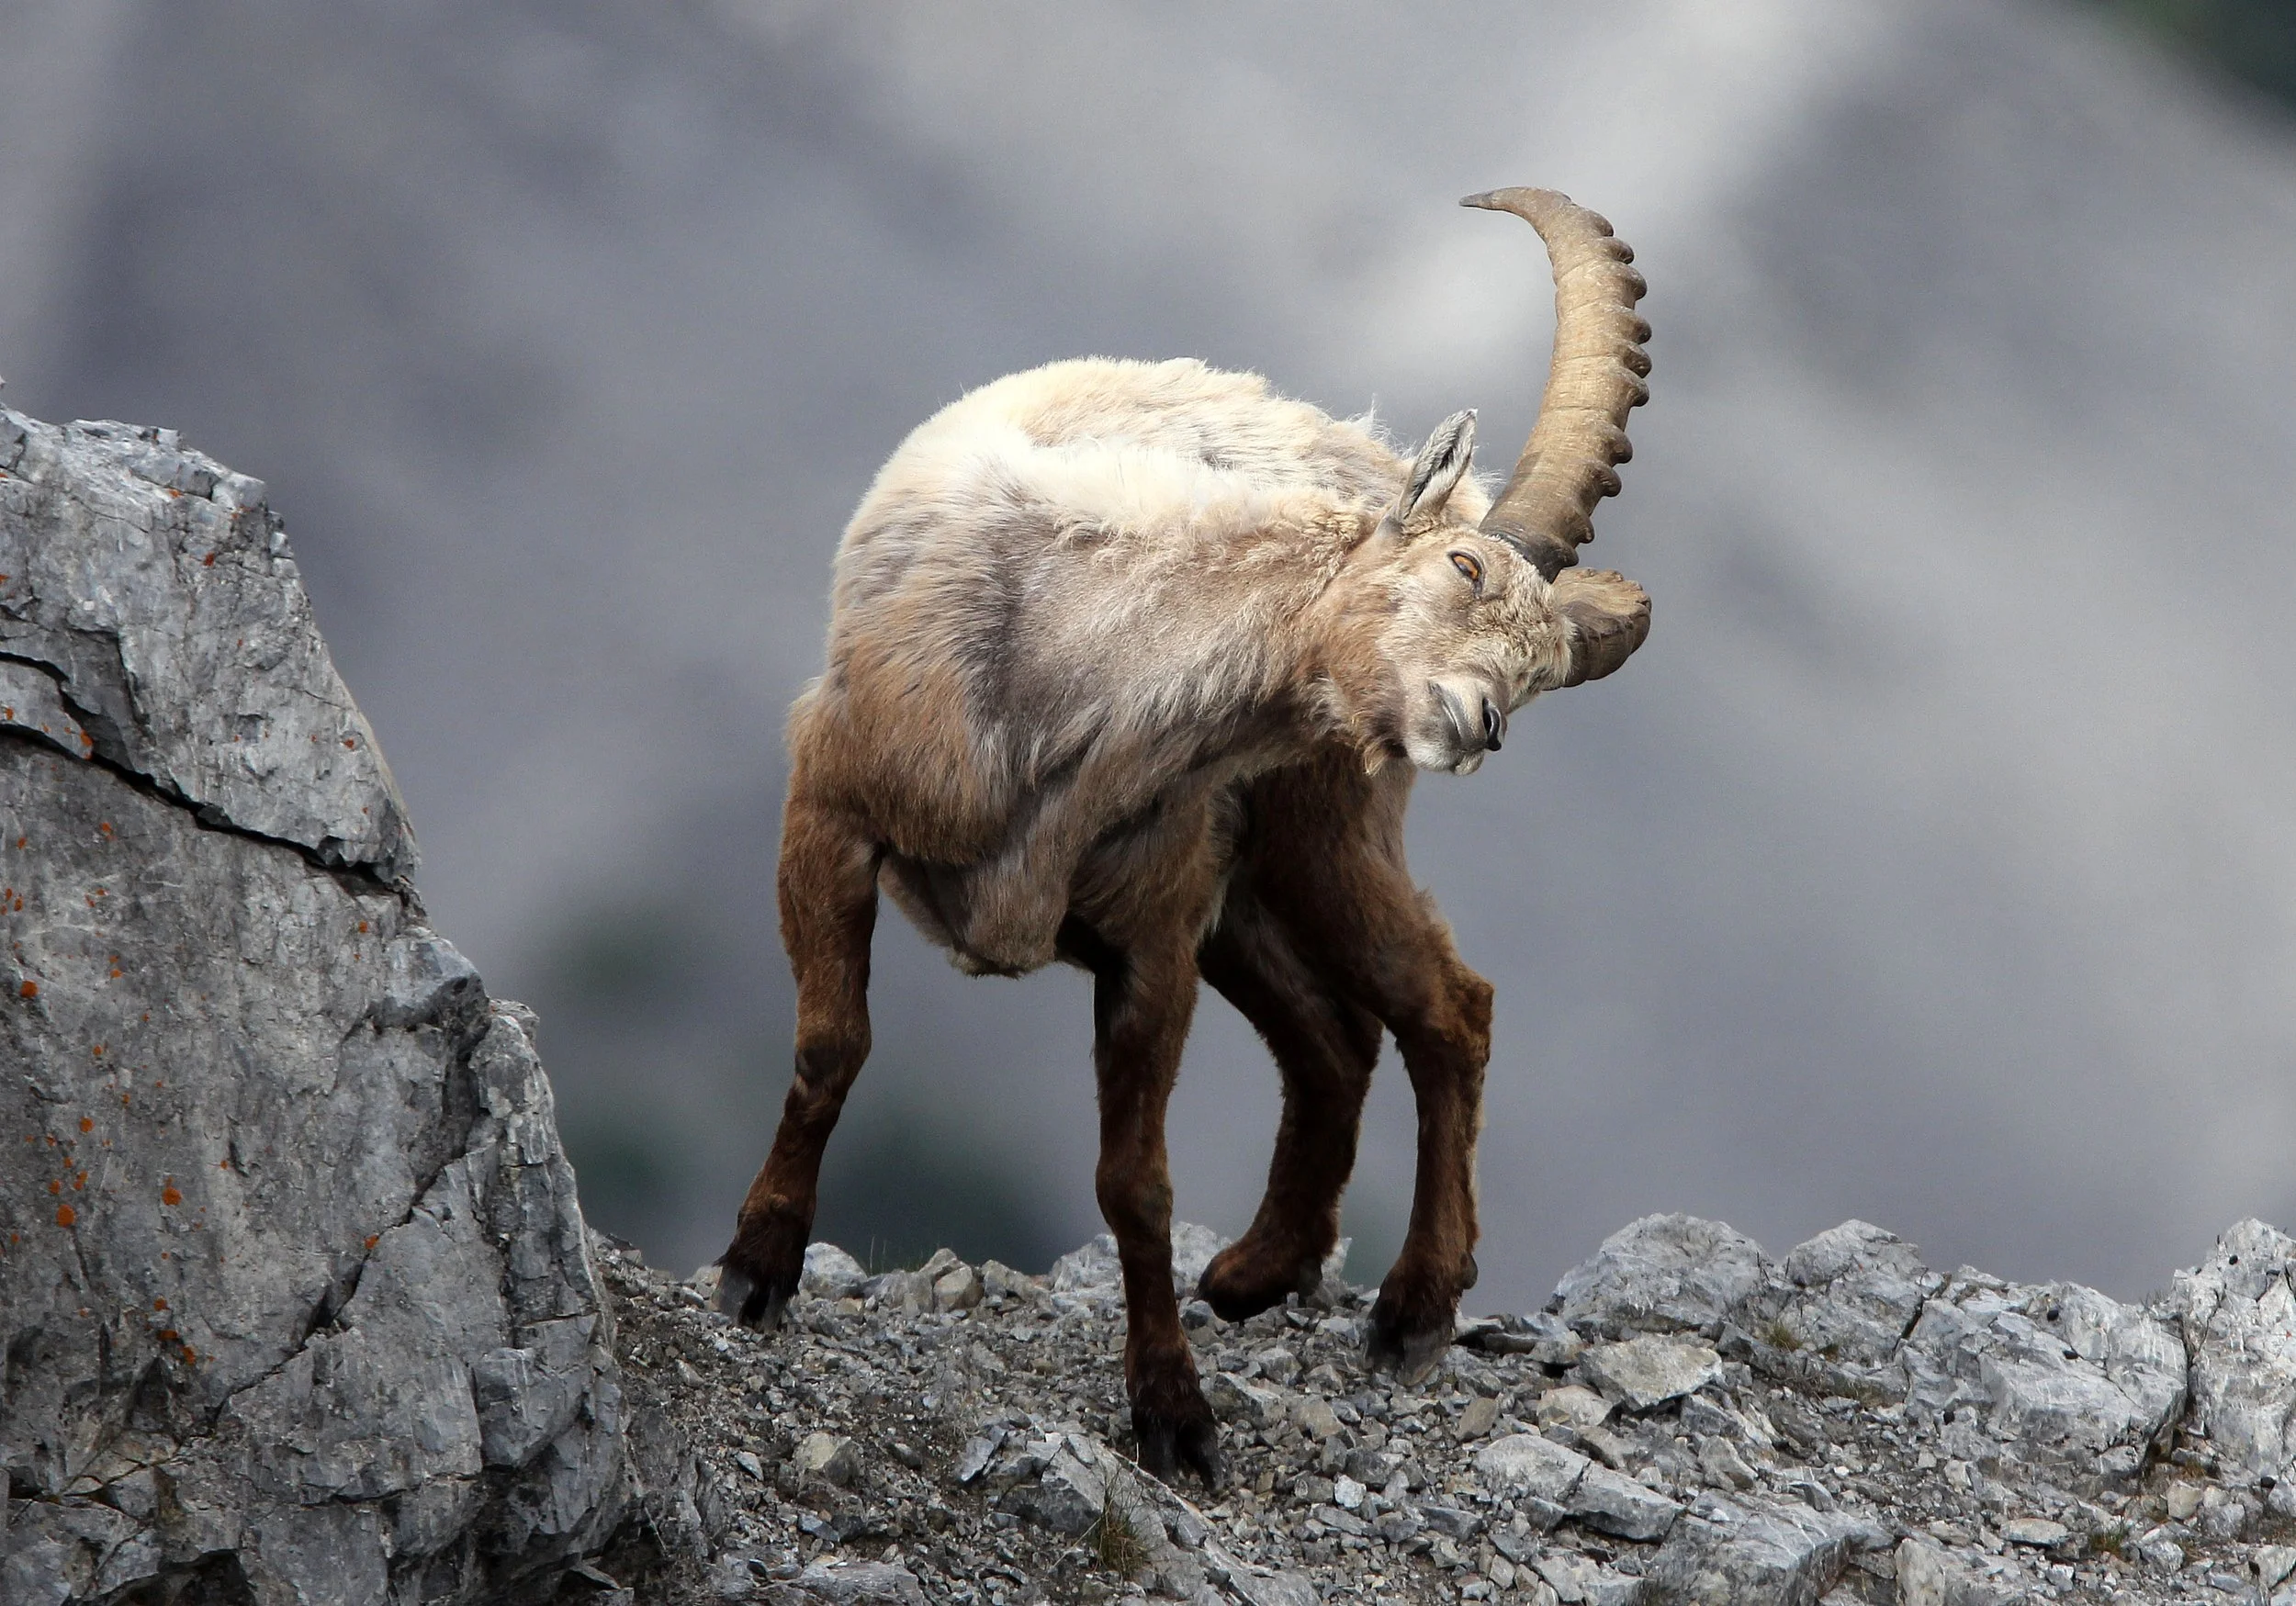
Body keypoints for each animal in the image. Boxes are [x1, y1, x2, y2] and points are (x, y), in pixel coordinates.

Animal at [718, 189, 1654, 1487]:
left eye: (1545, 664)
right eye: (1462, 564)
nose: (1479, 721)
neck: (1075, 674)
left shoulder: (1149, 939)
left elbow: (1136, 1184)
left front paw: (1172, 1412)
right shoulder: (829, 812)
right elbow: (828, 1050)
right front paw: (757, 1267)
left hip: (1310, 838)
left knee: (1441, 1008)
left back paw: (1411, 1308)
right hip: (1251, 888)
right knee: (1338, 1039)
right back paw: (1263, 1272)